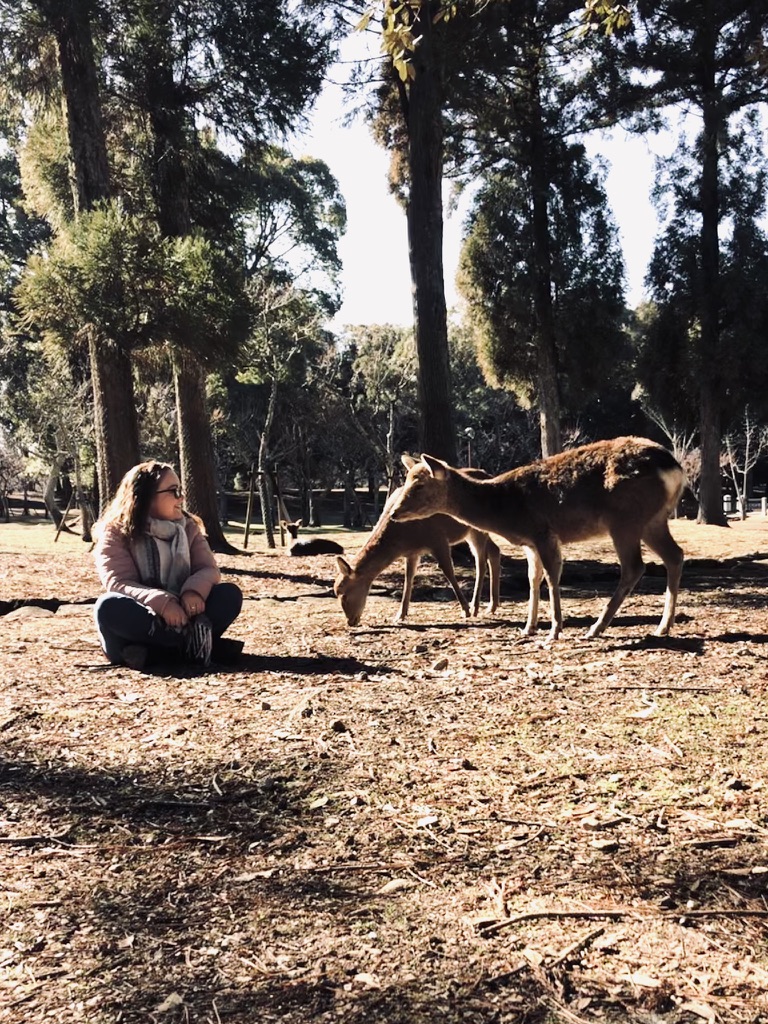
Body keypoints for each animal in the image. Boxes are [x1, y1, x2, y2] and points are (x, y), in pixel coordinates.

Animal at [334, 471, 502, 626]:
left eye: (344, 593)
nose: (350, 621)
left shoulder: (438, 539)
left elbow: (448, 571)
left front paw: (464, 609)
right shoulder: (412, 552)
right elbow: (408, 578)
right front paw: (400, 615)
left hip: (477, 529)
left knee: (480, 561)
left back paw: (475, 607)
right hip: (474, 531)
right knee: (494, 550)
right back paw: (492, 606)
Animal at [387, 437, 685, 641]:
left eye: (419, 484)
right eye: (407, 479)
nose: (394, 512)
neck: (507, 509)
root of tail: (674, 468)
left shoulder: (544, 531)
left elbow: (552, 576)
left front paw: (554, 629)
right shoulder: (529, 543)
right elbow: (533, 579)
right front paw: (527, 628)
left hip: (625, 520)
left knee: (634, 566)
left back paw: (596, 628)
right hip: (653, 520)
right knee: (675, 555)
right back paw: (663, 626)